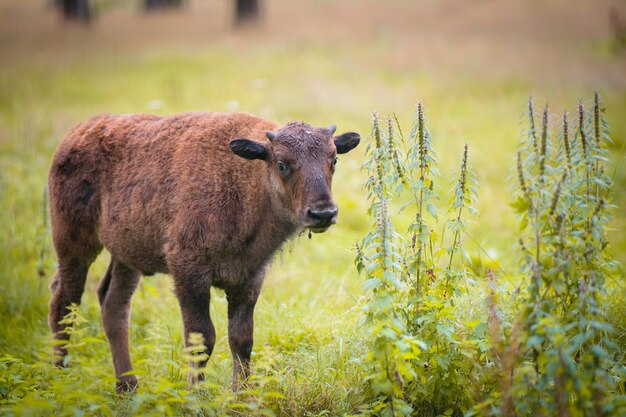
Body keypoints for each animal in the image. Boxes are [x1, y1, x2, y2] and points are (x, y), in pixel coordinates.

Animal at [47, 110, 360, 390]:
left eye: (334, 160)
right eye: (282, 164)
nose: (323, 213)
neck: (247, 178)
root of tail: (76, 135)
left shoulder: (250, 277)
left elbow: (242, 338)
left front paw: (241, 395)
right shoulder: (189, 271)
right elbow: (202, 338)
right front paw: (196, 394)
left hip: (126, 256)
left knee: (113, 305)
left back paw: (127, 386)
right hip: (73, 244)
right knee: (64, 301)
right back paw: (60, 379)